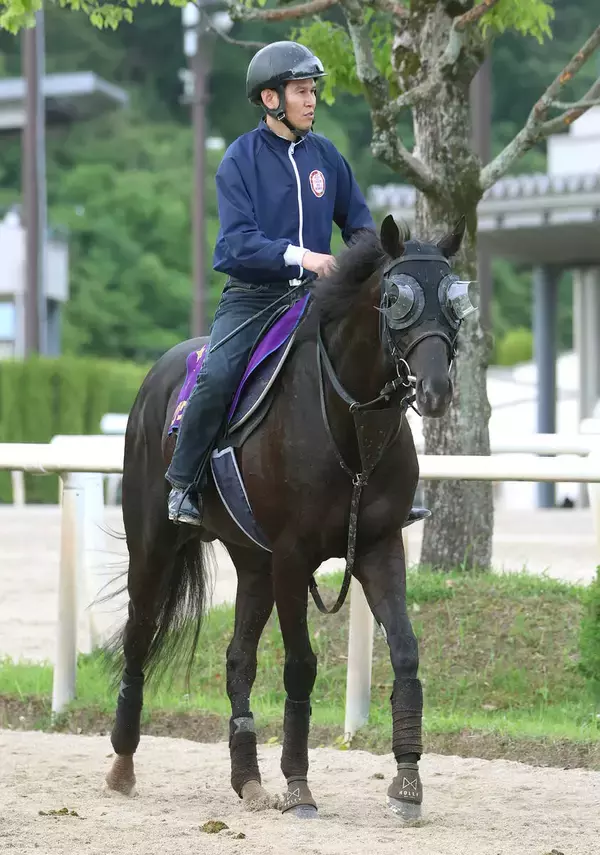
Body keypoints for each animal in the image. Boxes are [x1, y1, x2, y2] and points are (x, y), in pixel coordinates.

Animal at [104, 213, 477, 820]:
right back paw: (122, 764)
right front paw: (299, 786)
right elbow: (301, 664)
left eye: (455, 299)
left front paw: (407, 784)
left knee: (237, 660)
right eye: (395, 298)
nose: (437, 390)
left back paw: (249, 780)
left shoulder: (377, 548)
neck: (348, 425)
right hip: (154, 547)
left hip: (251, 564)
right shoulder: (292, 557)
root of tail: (158, 375)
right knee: (139, 635)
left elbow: (405, 652)